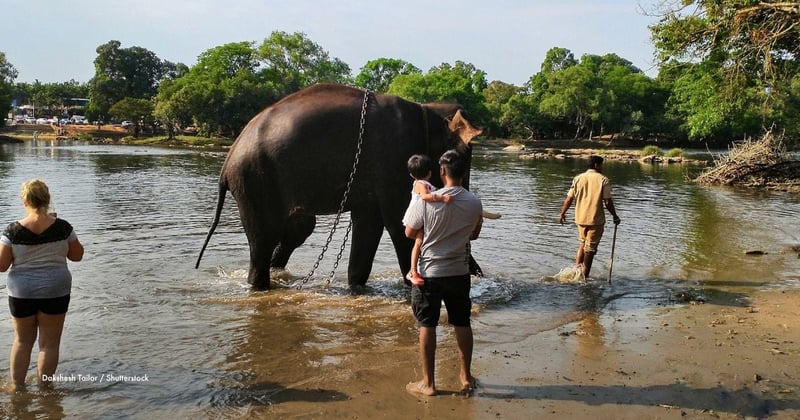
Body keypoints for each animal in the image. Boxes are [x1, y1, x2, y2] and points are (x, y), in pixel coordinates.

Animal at [195, 83, 483, 289]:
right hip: (255, 182)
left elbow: (369, 224)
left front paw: (356, 286)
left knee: (297, 228)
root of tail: (228, 161)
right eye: (462, 161)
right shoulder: (394, 160)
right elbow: (399, 223)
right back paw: (260, 286)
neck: (426, 110)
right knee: (263, 239)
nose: (476, 274)